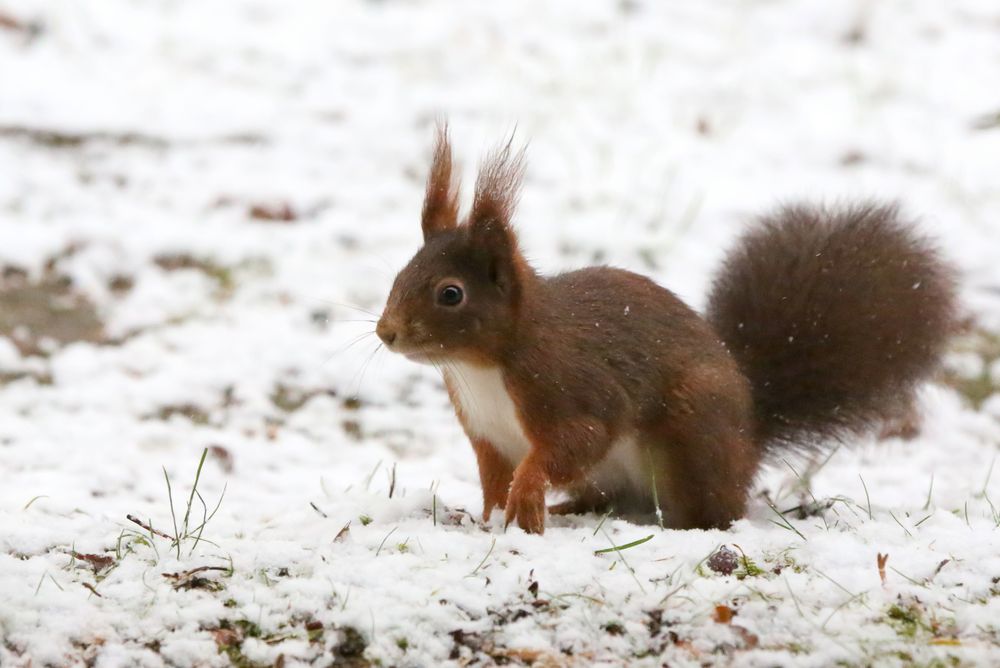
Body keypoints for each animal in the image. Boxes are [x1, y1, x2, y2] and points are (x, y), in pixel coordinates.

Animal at [374, 130, 952, 536]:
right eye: (400, 273)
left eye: (451, 294)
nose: (386, 333)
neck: (483, 367)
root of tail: (750, 436)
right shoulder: (488, 433)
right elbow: (495, 478)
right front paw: (492, 517)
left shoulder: (569, 386)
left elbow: (577, 439)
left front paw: (529, 493)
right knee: (608, 499)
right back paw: (572, 508)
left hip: (692, 433)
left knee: (713, 510)